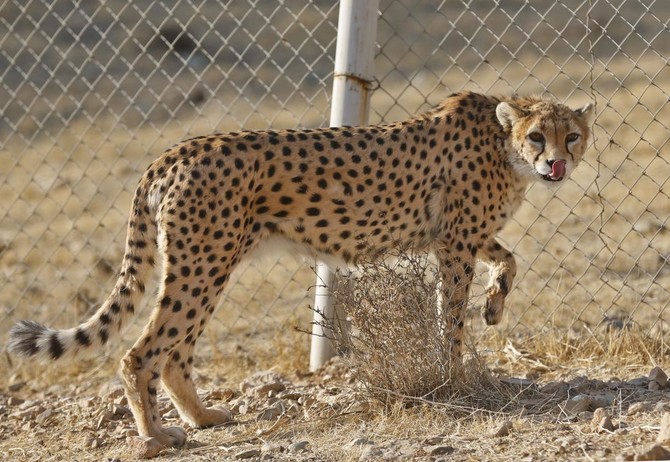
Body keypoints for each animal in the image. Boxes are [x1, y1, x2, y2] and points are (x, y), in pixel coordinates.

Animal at [9, 92, 592, 450]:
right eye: (537, 136)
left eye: (572, 136)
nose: (556, 164)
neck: (503, 146)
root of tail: (174, 150)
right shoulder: (453, 242)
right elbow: (449, 316)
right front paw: (454, 373)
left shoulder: (459, 236)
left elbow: (509, 258)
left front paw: (493, 305)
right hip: (203, 264)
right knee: (143, 351)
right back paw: (154, 438)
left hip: (207, 265)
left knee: (174, 352)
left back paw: (202, 418)